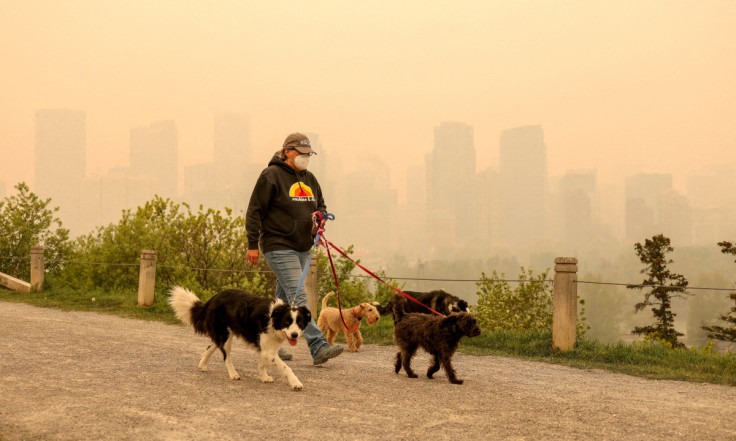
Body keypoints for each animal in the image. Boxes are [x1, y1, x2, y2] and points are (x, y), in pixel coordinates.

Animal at [170, 286, 310, 388]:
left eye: (299, 323)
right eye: (287, 322)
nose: (294, 335)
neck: (273, 317)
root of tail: (213, 299)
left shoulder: (266, 347)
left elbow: (262, 363)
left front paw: (263, 377)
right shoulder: (268, 350)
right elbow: (286, 368)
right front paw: (295, 383)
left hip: (223, 333)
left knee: (212, 345)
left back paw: (203, 364)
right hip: (225, 336)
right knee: (226, 357)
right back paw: (233, 374)